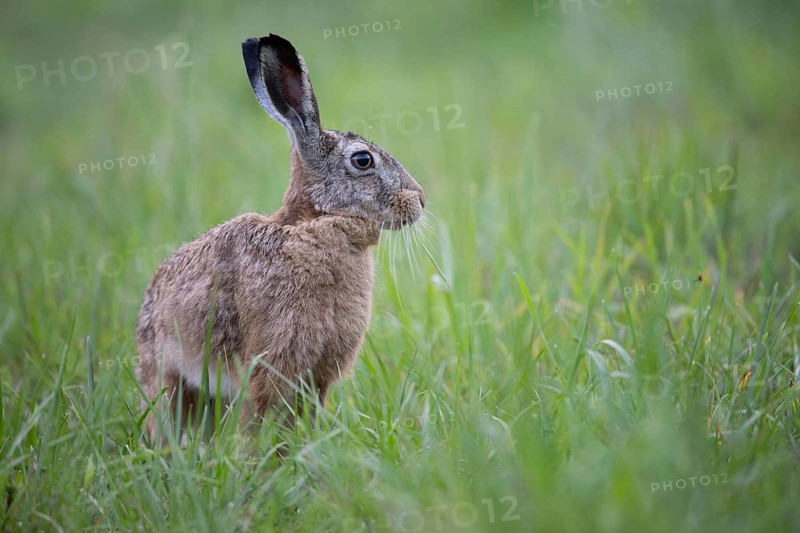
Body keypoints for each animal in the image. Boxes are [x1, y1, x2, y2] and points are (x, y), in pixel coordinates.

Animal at [135, 33, 426, 440]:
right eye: (363, 160)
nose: (420, 200)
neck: (314, 223)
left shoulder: (318, 373)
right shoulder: (270, 363)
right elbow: (259, 416)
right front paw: (255, 455)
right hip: (169, 379)